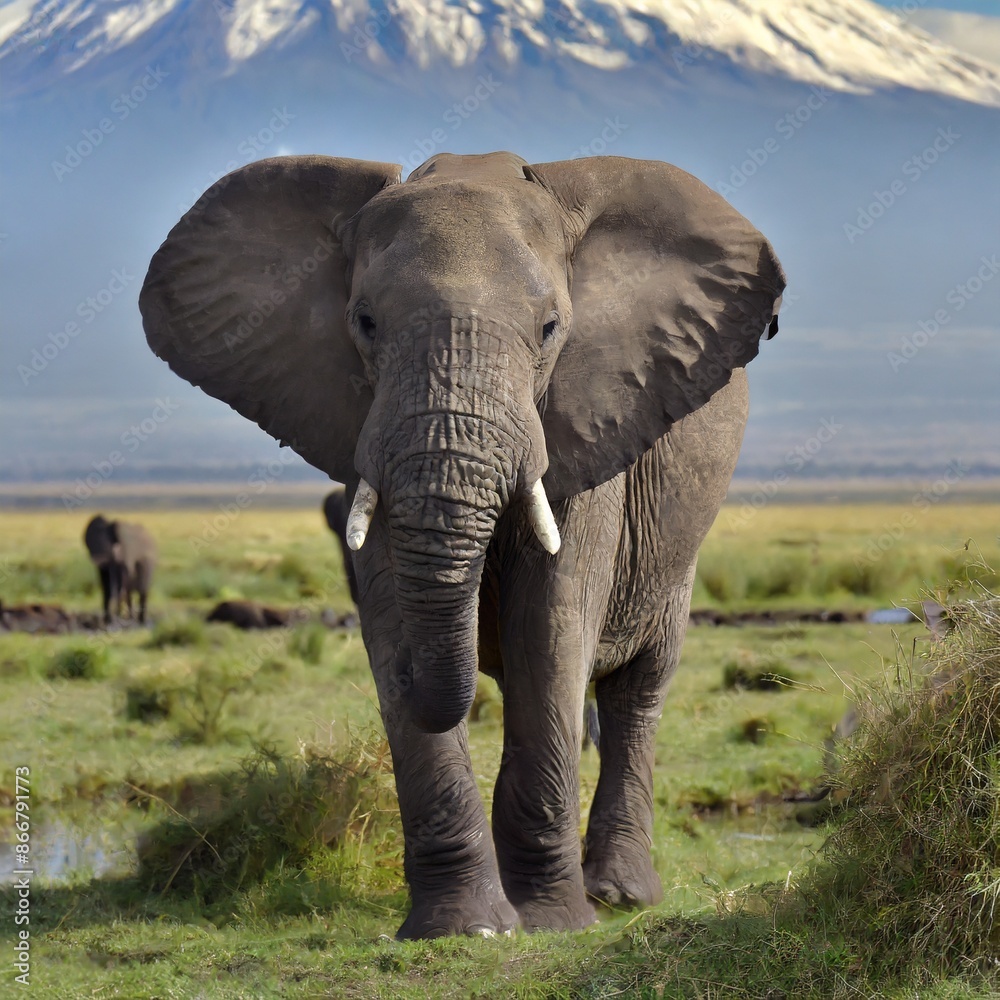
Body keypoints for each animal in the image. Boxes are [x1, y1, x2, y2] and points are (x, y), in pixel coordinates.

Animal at [139, 151, 784, 938]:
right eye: (364, 322)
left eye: (550, 327)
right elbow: (392, 615)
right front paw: (466, 927)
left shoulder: (586, 424)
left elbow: (553, 628)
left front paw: (553, 924)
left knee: (641, 686)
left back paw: (619, 895)